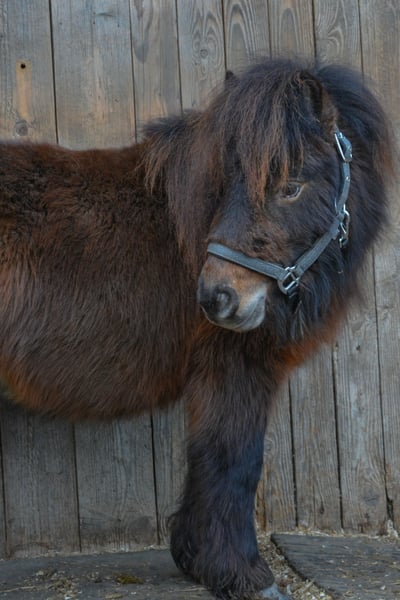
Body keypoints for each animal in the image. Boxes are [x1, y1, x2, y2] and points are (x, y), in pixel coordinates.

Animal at [0, 58, 394, 599]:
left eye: (290, 186)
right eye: (225, 186)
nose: (215, 297)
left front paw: (199, 559)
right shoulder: (234, 368)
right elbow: (234, 460)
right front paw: (242, 573)